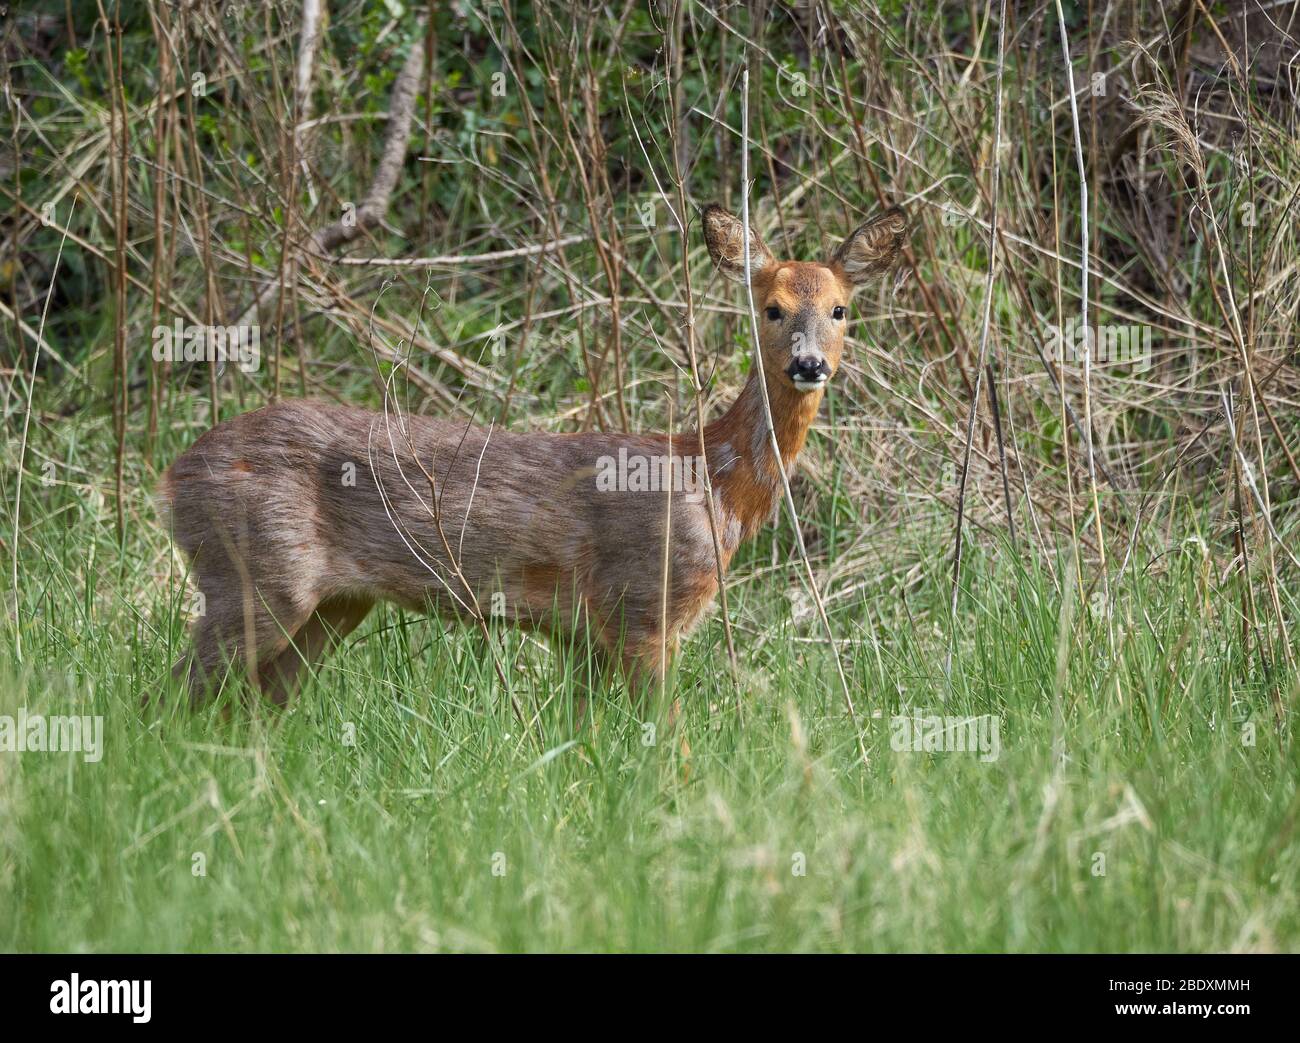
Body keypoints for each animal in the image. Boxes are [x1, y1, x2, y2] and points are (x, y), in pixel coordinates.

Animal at [161, 203, 908, 709]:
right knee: (170, 701)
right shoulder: (643, 606)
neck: (714, 483)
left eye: (840, 309)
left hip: (333, 607)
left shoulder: (585, 636)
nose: (809, 365)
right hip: (256, 572)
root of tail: (173, 477)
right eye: (773, 308)